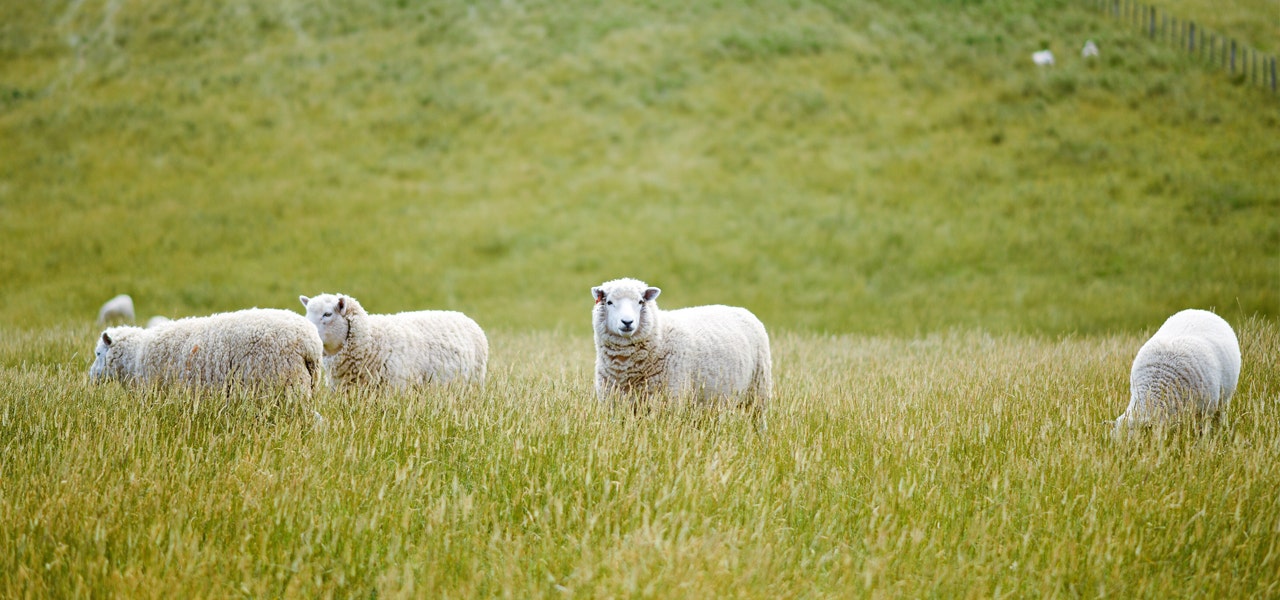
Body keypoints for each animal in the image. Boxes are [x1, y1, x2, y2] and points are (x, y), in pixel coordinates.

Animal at [588, 277, 768, 414]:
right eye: (609, 302)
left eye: (640, 301)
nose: (627, 322)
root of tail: (742, 310)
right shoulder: (614, 403)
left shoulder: (670, 401)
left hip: (758, 390)